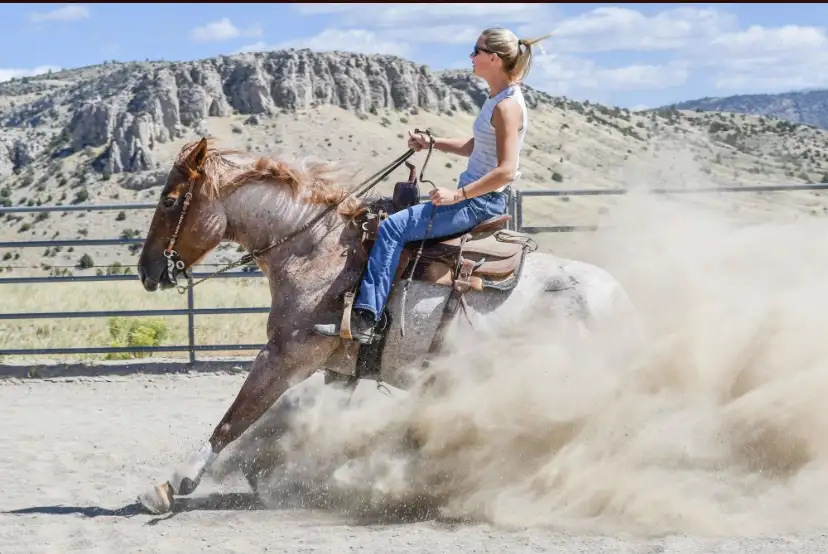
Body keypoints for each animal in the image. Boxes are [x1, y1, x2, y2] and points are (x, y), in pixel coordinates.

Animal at [134, 137, 641, 514]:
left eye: (170, 200)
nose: (147, 271)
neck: (316, 251)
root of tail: (620, 300)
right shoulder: (339, 370)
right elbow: (320, 421)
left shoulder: (284, 356)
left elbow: (235, 418)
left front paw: (173, 483)